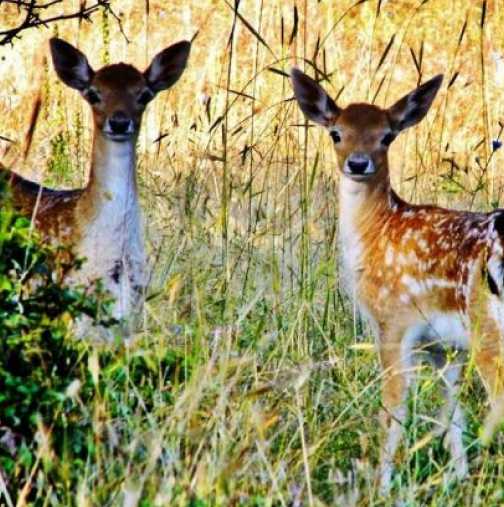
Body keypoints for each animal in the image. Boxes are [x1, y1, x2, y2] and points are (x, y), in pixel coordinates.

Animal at [290, 67, 504, 492]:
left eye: (387, 135)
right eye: (336, 132)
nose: (358, 164)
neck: (377, 233)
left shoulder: (392, 321)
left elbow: (393, 411)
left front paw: (382, 484)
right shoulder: (443, 346)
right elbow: (452, 416)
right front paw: (458, 480)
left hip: (488, 329)